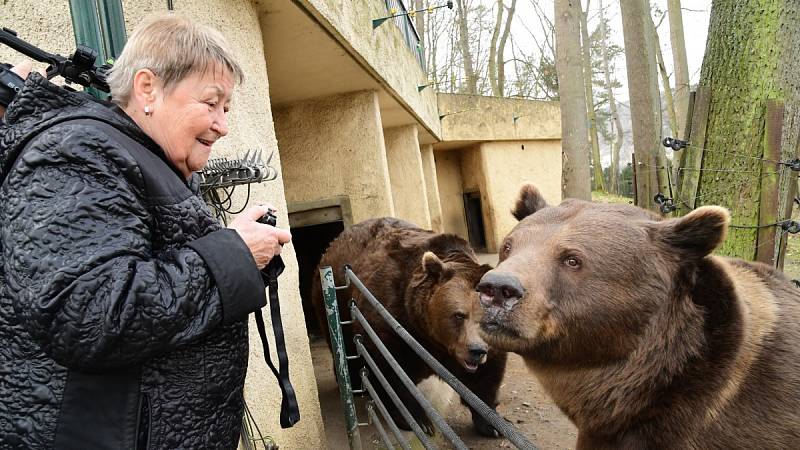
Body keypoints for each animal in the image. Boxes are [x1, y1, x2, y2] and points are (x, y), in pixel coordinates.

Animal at [310, 217, 510, 436]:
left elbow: (487, 375)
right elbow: (393, 370)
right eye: (459, 315)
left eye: (486, 319)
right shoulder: (392, 319)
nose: (476, 351)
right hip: (334, 299)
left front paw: (492, 424)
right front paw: (419, 421)